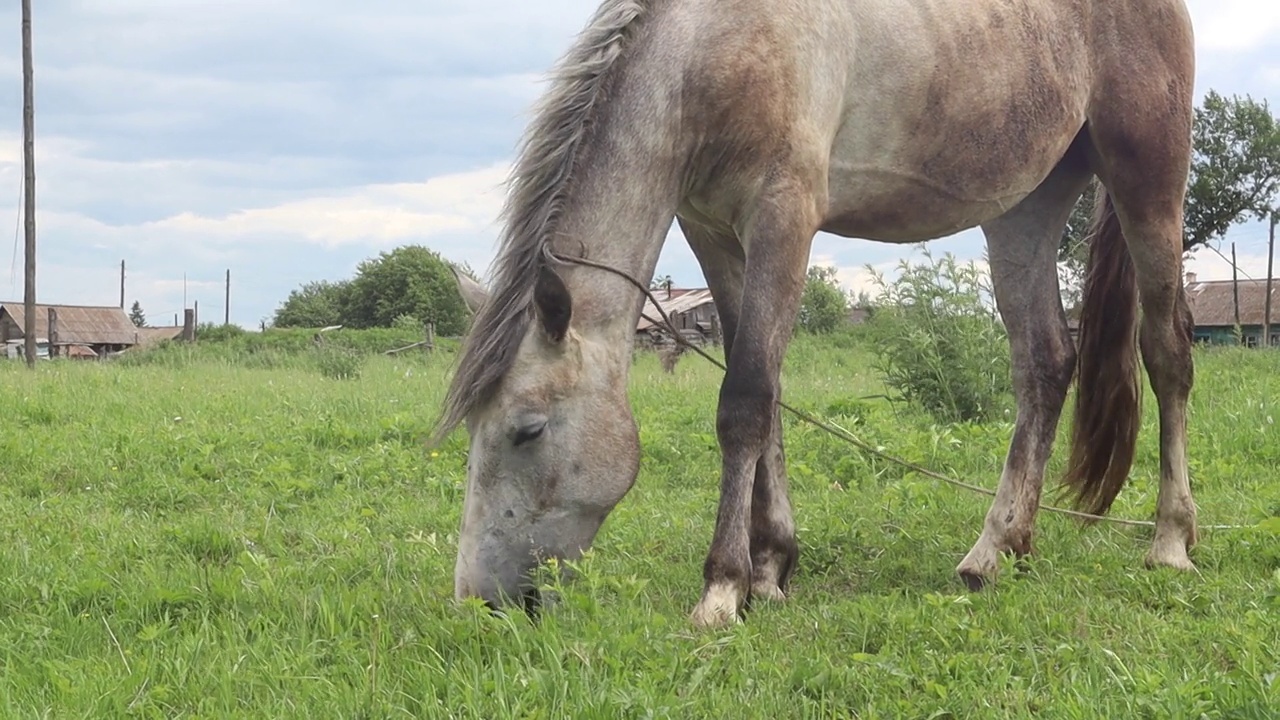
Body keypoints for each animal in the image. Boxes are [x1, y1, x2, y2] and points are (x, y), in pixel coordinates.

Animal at [430, 0, 1198, 625]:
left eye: (527, 430)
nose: (482, 601)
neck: (717, 46)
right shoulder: (713, 234)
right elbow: (766, 397)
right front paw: (770, 570)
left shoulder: (783, 218)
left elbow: (742, 402)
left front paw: (722, 588)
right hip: (1024, 211)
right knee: (1044, 364)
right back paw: (999, 549)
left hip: (1148, 180)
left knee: (1166, 355)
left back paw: (1170, 541)